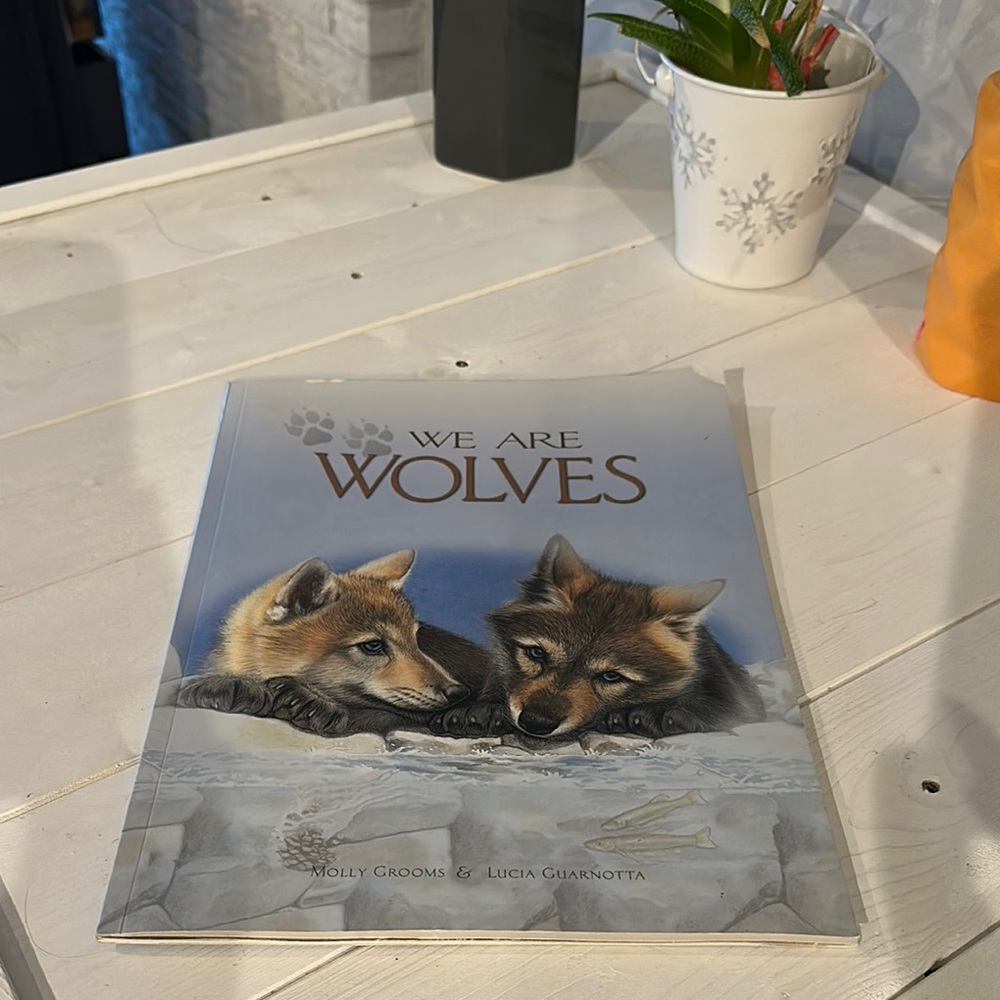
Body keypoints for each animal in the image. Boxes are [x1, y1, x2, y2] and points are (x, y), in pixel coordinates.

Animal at [177, 550, 491, 737]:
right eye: (373, 646)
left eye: (416, 640)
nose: (458, 691)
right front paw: (228, 686)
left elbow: (372, 714)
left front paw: (312, 702)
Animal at [430, 535, 766, 741]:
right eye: (537, 654)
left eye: (611, 676)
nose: (536, 722)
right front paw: (483, 710)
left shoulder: (735, 704)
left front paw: (654, 714)